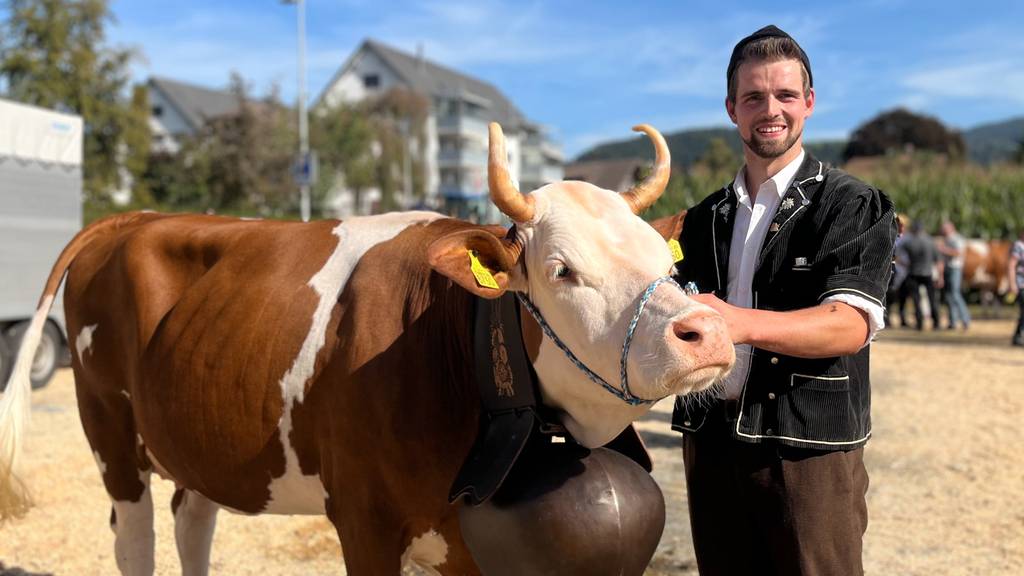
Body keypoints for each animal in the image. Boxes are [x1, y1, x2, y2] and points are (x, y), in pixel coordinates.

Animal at [0, 123, 737, 569]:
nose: (705, 334)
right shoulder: (364, 523)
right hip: (110, 435)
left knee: (192, 519)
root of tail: (135, 218)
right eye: (561, 270)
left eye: (666, 264)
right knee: (136, 540)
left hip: (197, 431)